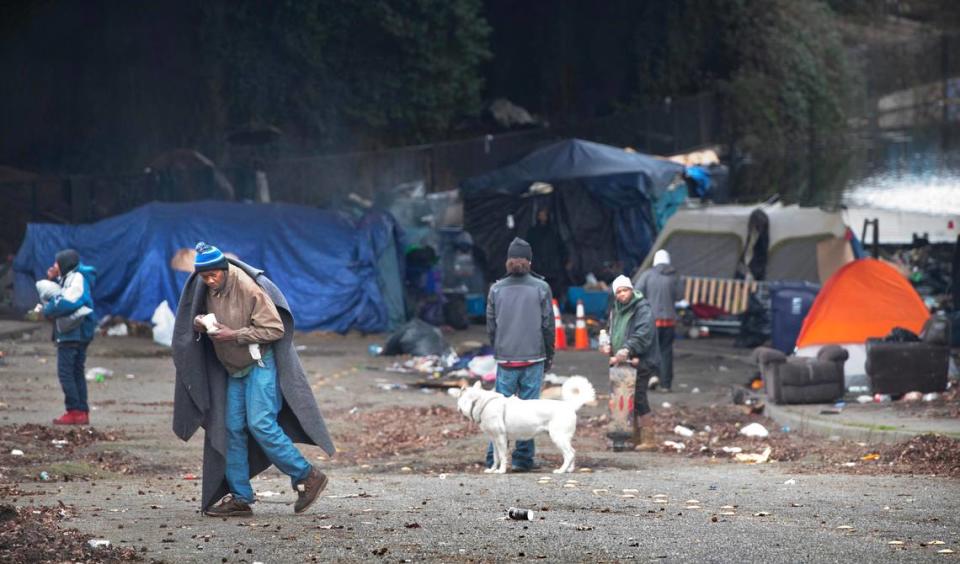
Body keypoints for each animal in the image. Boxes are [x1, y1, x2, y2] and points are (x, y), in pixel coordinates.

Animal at [456, 376, 592, 474]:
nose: (457, 408)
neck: (480, 402)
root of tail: (569, 406)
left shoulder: (501, 439)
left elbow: (502, 456)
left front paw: (501, 471)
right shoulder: (494, 440)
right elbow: (495, 457)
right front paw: (492, 469)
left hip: (558, 438)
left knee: (569, 454)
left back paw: (561, 470)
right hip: (563, 439)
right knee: (573, 452)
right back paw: (569, 469)